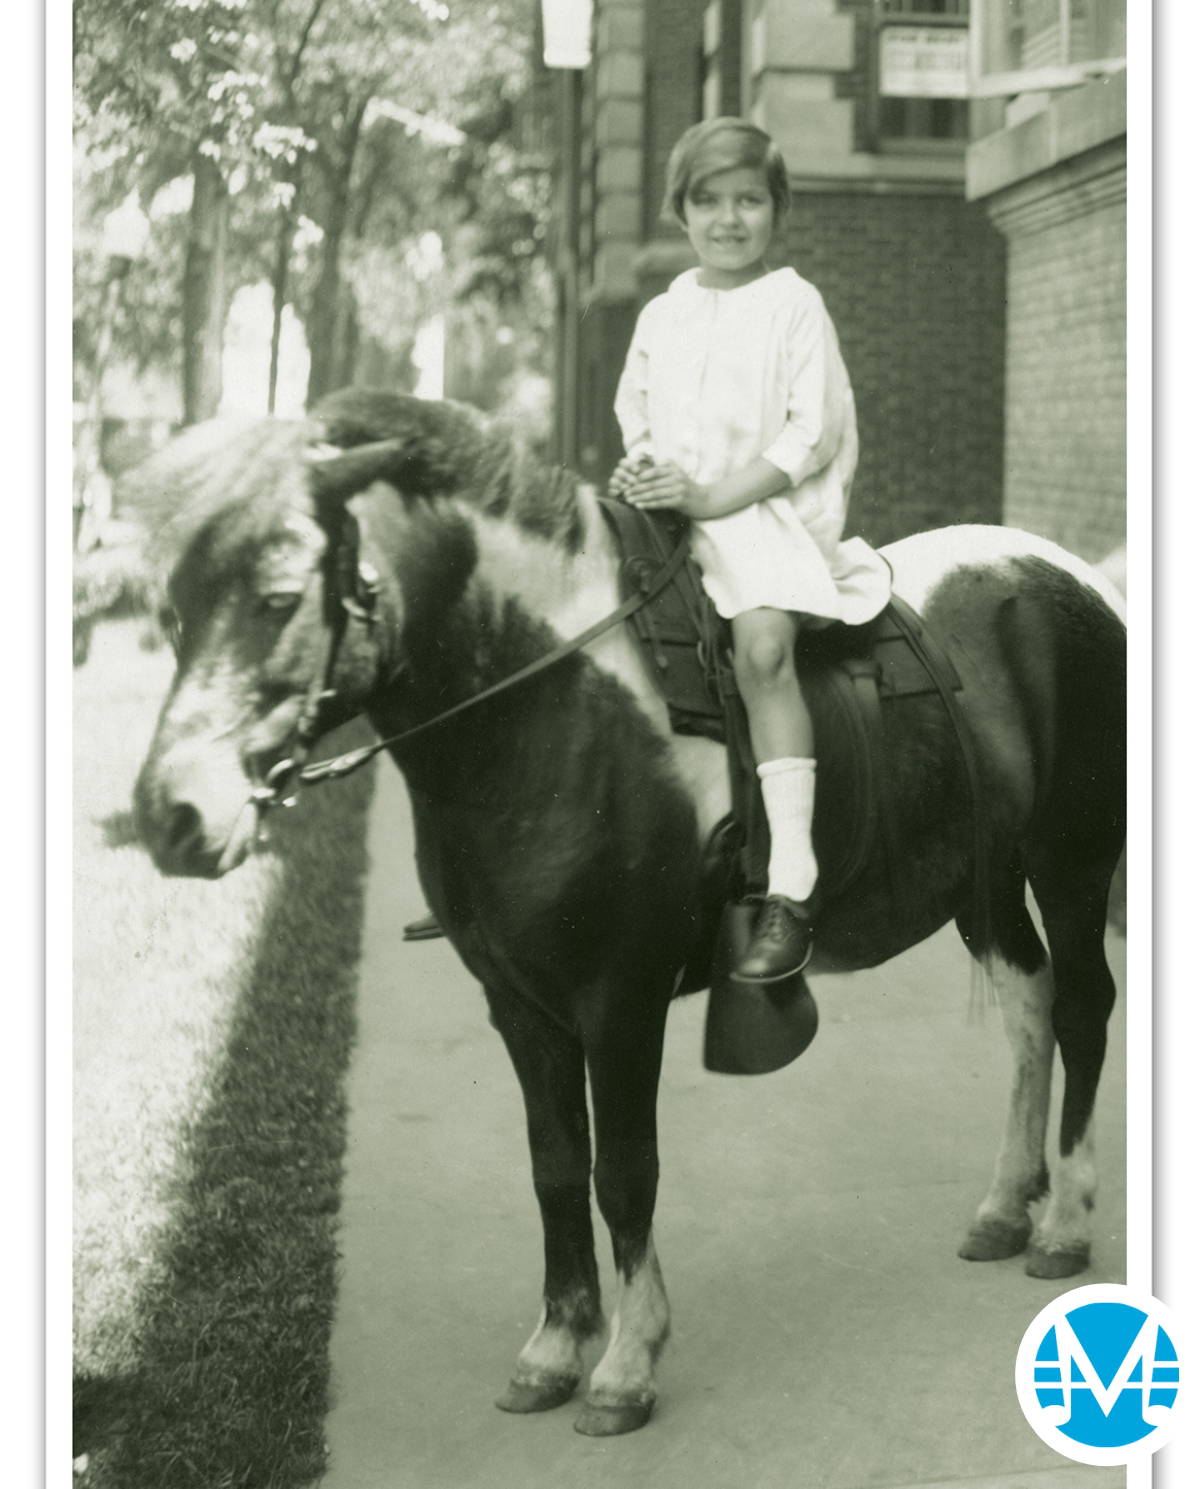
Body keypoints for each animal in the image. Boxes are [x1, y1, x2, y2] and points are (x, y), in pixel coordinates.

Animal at [134, 390, 1126, 1435]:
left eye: (279, 597)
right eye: (175, 605)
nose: (172, 814)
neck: (550, 708)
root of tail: (1073, 577)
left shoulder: (620, 1001)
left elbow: (623, 1172)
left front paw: (626, 1363)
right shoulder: (520, 1006)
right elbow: (556, 1168)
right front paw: (556, 1346)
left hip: (1069, 862)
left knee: (1079, 1010)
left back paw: (1064, 1221)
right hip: (986, 879)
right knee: (1029, 1010)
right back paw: (1007, 1204)